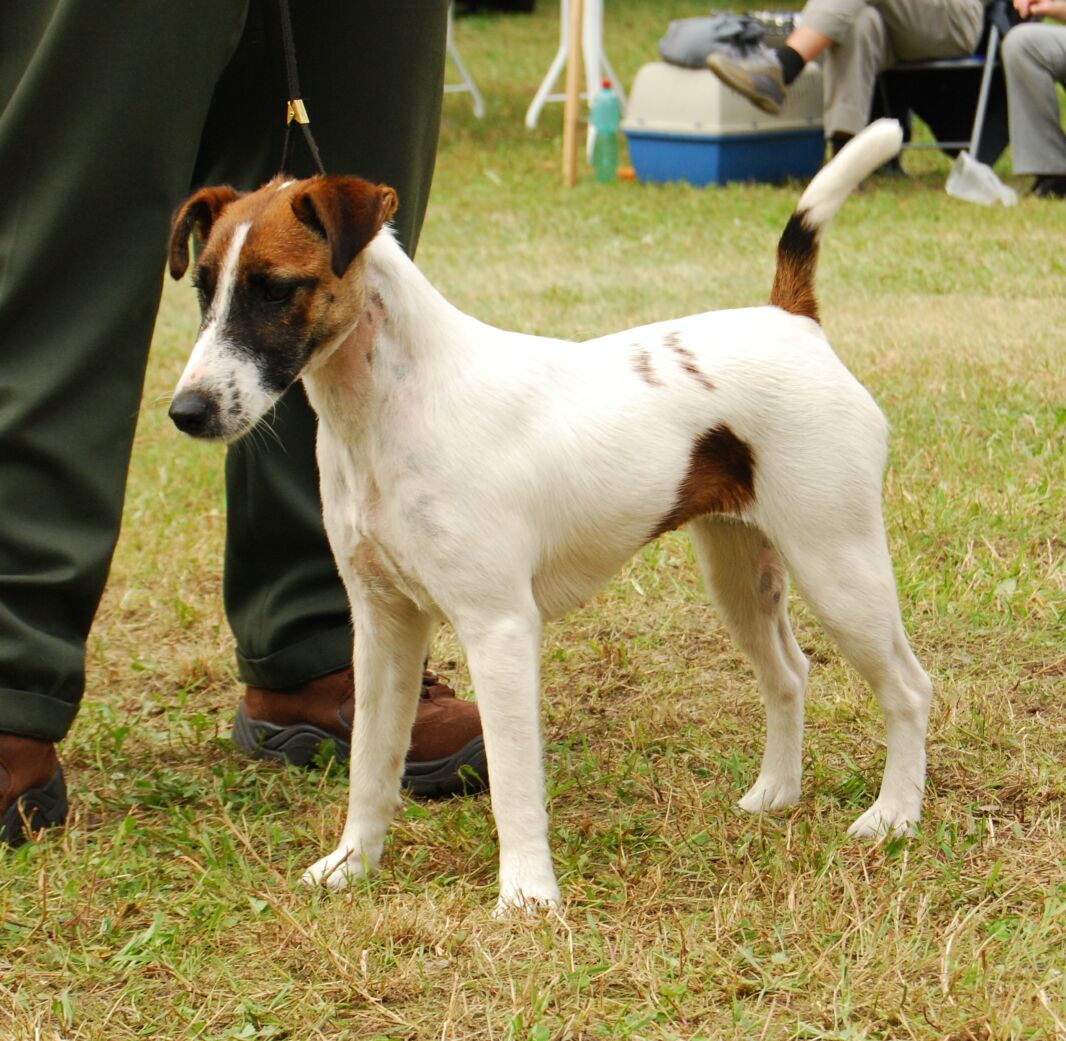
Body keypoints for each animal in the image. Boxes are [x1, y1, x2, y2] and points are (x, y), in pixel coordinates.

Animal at [168, 119, 932, 913]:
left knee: (909, 689)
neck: (392, 410)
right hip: (740, 571)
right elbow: (371, 767)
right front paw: (352, 864)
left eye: (276, 289)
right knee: (788, 674)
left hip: (838, 566)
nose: (187, 411)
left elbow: (512, 782)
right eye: (202, 288)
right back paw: (775, 793)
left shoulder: (499, 628)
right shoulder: (383, 626)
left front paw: (527, 896)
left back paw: (893, 817)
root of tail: (792, 319)